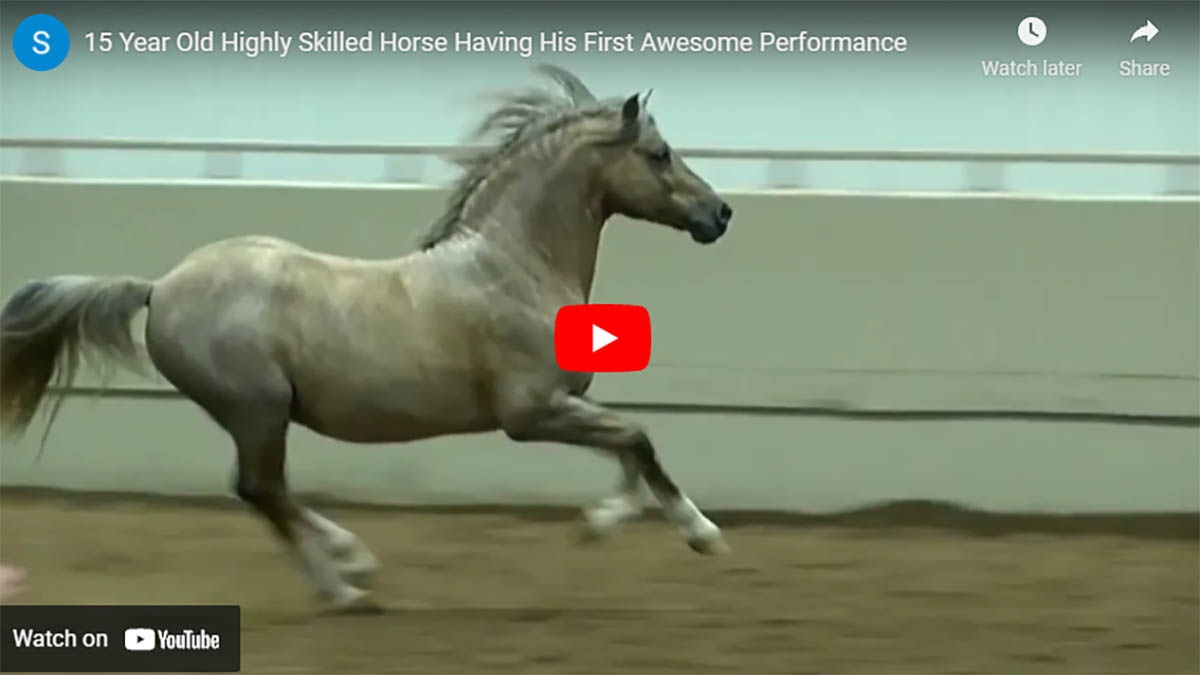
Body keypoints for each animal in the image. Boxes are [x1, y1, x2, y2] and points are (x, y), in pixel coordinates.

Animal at [0, 66, 729, 610]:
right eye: (659, 154)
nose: (719, 213)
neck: (512, 266)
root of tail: (159, 287)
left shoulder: (565, 404)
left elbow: (630, 449)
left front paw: (601, 523)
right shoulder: (531, 413)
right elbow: (639, 437)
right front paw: (702, 535)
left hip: (258, 416)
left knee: (264, 490)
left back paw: (351, 568)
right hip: (259, 411)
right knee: (260, 488)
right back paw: (347, 582)